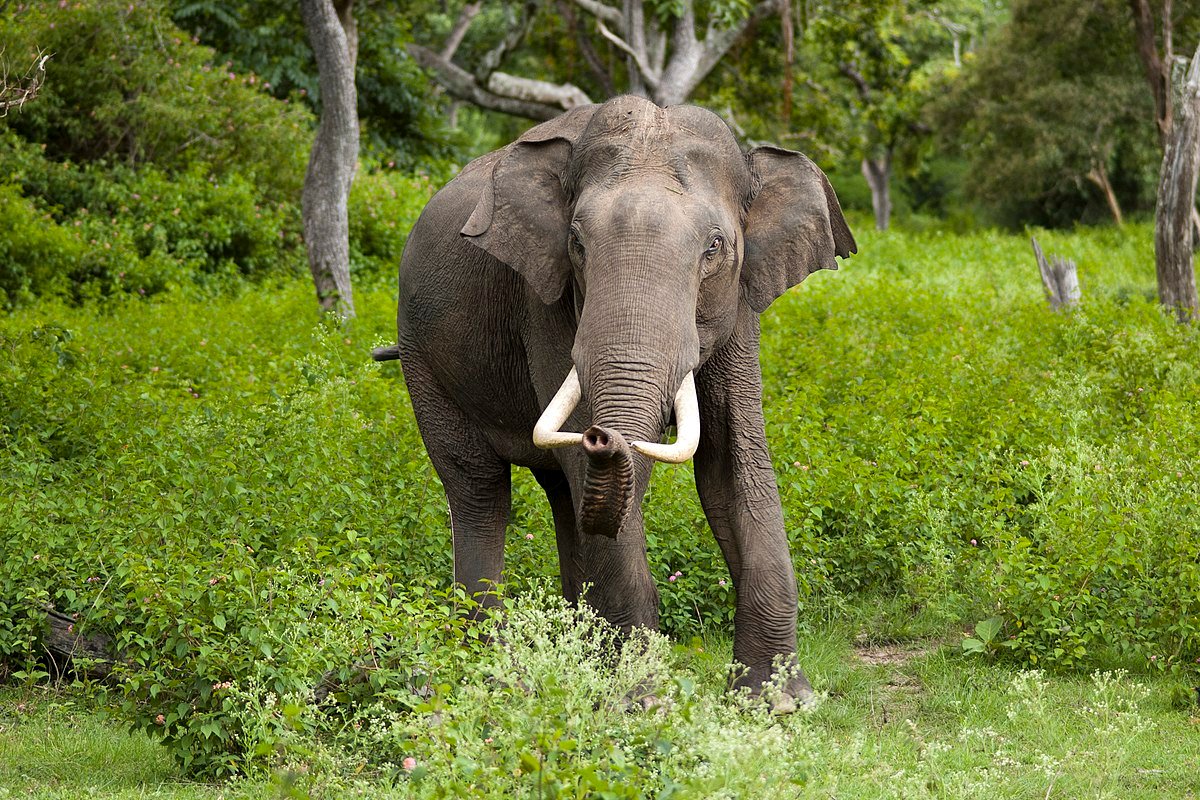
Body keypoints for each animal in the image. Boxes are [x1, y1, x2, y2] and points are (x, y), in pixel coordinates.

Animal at [374, 95, 854, 705]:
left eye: (715, 247)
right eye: (577, 244)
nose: (604, 436)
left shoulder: (741, 303)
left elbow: (732, 465)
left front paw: (781, 703)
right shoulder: (545, 300)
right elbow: (601, 472)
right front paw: (642, 700)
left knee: (562, 494)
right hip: (421, 355)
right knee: (480, 488)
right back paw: (494, 670)